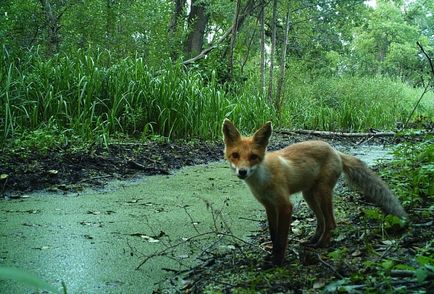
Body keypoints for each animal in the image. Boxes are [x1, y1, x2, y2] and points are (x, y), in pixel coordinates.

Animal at [222, 118, 408, 266]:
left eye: (253, 157)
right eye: (235, 155)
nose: (242, 172)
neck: (262, 180)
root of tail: (334, 150)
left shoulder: (285, 206)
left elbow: (281, 240)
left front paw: (277, 262)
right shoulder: (269, 206)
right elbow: (274, 235)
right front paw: (271, 257)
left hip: (323, 192)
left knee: (331, 223)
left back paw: (322, 245)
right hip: (309, 196)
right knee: (321, 221)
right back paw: (313, 240)